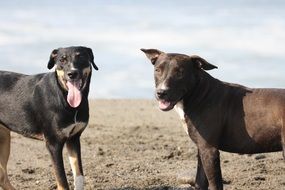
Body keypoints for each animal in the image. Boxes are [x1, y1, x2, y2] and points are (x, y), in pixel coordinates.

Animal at [0, 46, 97, 190]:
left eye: (81, 57)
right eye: (62, 60)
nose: (72, 73)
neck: (64, 97)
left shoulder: (74, 139)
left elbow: (79, 175)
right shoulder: (53, 143)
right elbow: (62, 181)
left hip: (4, 138)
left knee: (2, 177)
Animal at [142, 48, 284, 189]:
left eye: (180, 72)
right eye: (157, 70)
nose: (161, 93)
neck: (199, 92)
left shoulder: (209, 150)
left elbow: (215, 184)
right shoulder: (202, 148)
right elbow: (199, 181)